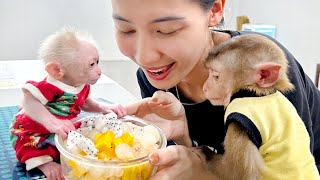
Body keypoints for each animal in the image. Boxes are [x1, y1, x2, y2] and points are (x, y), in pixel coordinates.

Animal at [9, 27, 126, 180]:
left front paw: (111, 107)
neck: (71, 85)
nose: (99, 72)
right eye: (92, 64)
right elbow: (31, 100)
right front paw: (59, 124)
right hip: (25, 135)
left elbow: (89, 103)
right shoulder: (46, 87)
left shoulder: (84, 90)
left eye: (98, 62)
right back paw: (49, 166)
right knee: (29, 147)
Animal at [201, 34, 318, 179]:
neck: (256, 94)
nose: (205, 88)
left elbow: (236, 173)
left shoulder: (238, 125)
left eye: (216, 76)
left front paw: (206, 153)